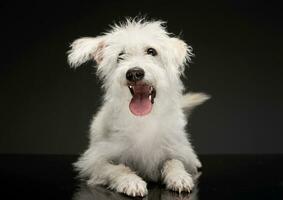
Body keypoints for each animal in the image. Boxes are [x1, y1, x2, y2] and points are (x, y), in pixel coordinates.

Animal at [67, 18, 210, 197]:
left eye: (151, 51)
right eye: (120, 56)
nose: (134, 73)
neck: (144, 119)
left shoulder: (176, 150)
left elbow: (174, 161)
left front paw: (179, 177)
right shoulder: (94, 162)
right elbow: (116, 168)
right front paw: (131, 182)